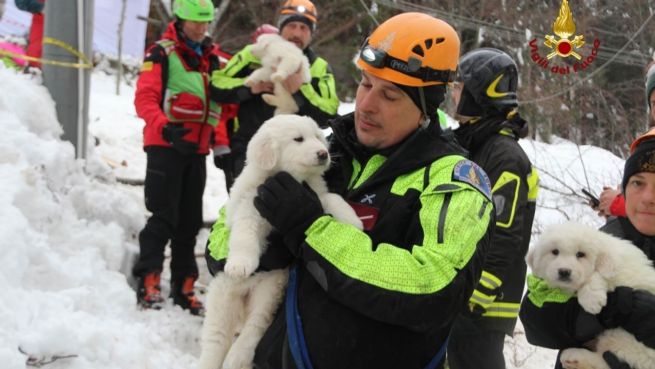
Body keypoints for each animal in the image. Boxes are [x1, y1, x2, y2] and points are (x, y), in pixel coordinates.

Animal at [200, 113, 364, 368]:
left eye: (317, 137)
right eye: (298, 139)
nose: (323, 153)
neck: (290, 179)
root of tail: (244, 297)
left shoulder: (314, 195)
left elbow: (333, 199)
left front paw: (353, 221)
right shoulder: (250, 206)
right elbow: (244, 234)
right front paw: (240, 265)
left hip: (268, 294)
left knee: (253, 330)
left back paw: (238, 358)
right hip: (222, 300)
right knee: (214, 342)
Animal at [524, 221, 655, 368]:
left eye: (581, 254)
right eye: (555, 252)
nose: (564, 271)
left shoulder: (618, 273)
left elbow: (595, 274)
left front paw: (592, 300)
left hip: (622, 338)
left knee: (606, 361)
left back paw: (574, 356)